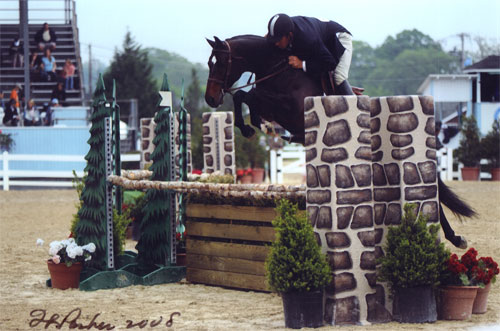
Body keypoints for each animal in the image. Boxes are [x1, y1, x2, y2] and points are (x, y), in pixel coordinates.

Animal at [204, 34, 476, 249]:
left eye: (220, 64)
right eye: (209, 63)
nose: (210, 99)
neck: (277, 69)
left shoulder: (288, 109)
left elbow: (246, 95)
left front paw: (253, 126)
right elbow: (244, 96)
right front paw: (254, 125)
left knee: (431, 194)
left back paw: (455, 238)